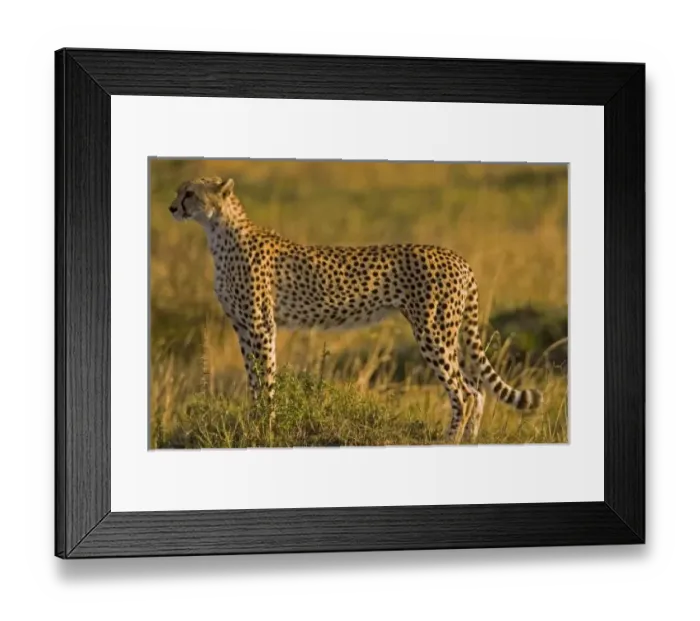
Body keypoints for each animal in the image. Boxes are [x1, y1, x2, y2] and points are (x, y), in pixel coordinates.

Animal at [168, 176, 543, 443]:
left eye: (190, 193)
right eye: (179, 191)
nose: (171, 208)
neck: (218, 232)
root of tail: (458, 257)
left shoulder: (260, 326)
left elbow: (266, 379)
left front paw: (266, 430)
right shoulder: (244, 328)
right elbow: (255, 380)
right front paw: (255, 425)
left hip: (433, 332)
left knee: (463, 393)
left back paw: (448, 441)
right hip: (449, 333)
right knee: (477, 392)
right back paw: (469, 442)